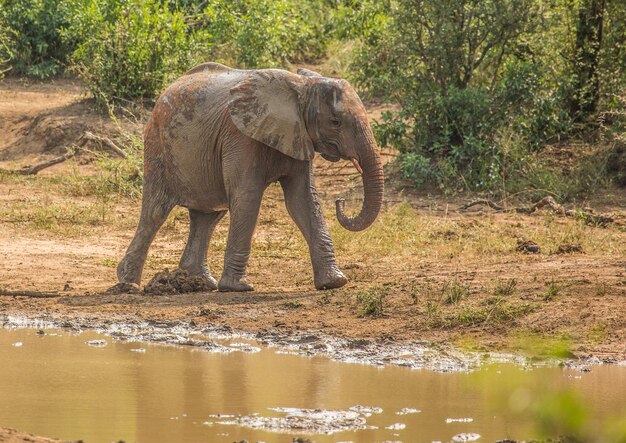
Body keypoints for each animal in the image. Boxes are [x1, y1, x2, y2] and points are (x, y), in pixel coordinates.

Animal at [114, 62, 382, 292]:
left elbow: (303, 201)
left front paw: (334, 282)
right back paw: (128, 283)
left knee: (209, 215)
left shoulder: (298, 135)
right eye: (335, 122)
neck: (301, 86)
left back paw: (200, 283)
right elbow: (248, 197)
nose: (340, 201)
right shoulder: (240, 136)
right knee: (155, 212)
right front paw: (238, 287)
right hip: (158, 146)